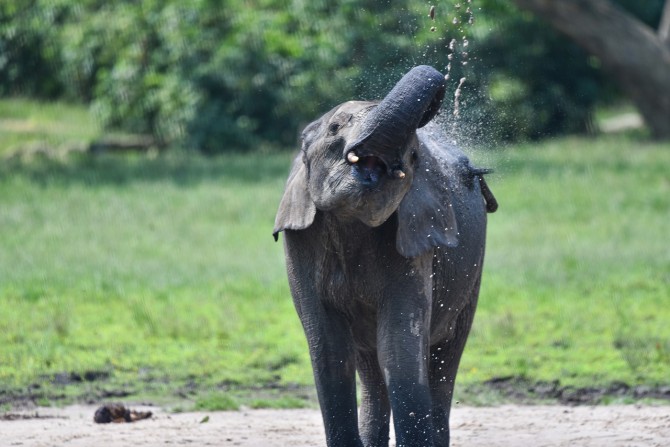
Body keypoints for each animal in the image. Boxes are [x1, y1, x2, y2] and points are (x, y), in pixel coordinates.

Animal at [273, 65, 497, 447]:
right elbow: (329, 349)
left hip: (473, 272)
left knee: (443, 360)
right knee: (370, 366)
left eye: (414, 157)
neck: (352, 222)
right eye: (335, 128)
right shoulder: (301, 240)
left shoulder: (414, 243)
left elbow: (399, 345)